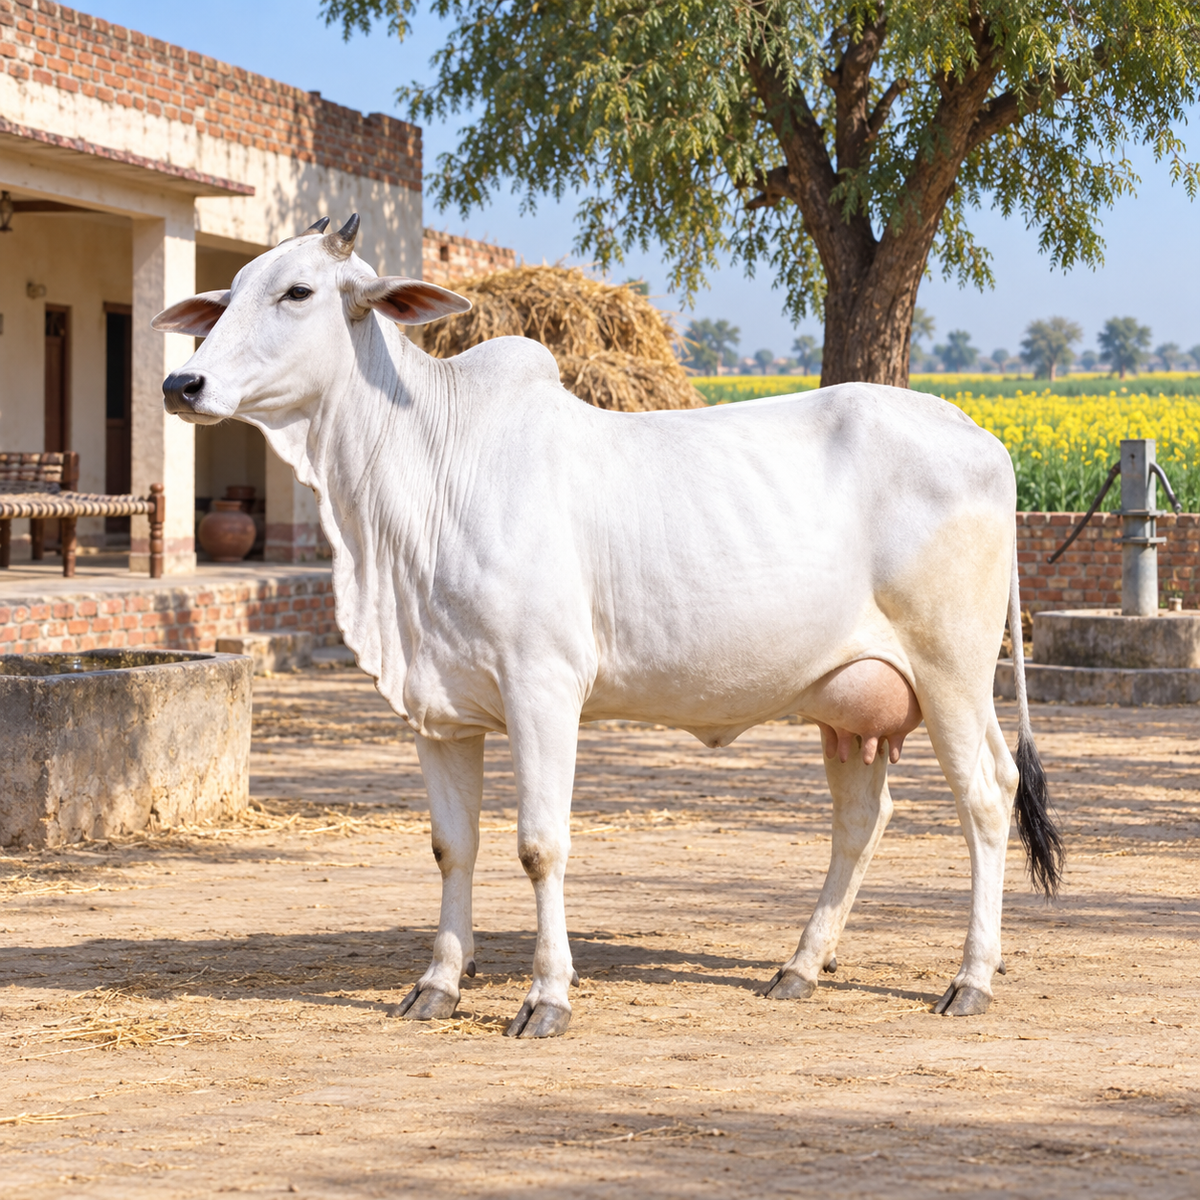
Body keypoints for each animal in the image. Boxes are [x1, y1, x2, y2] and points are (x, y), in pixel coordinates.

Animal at [153, 215, 1063, 1039]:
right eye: (223, 298)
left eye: (298, 292)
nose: (181, 385)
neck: (426, 473)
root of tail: (981, 437)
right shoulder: (438, 711)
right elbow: (454, 846)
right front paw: (437, 983)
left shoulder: (543, 686)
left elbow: (539, 845)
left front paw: (546, 995)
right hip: (850, 704)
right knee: (861, 820)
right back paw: (801, 965)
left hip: (952, 674)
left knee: (987, 799)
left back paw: (970, 977)